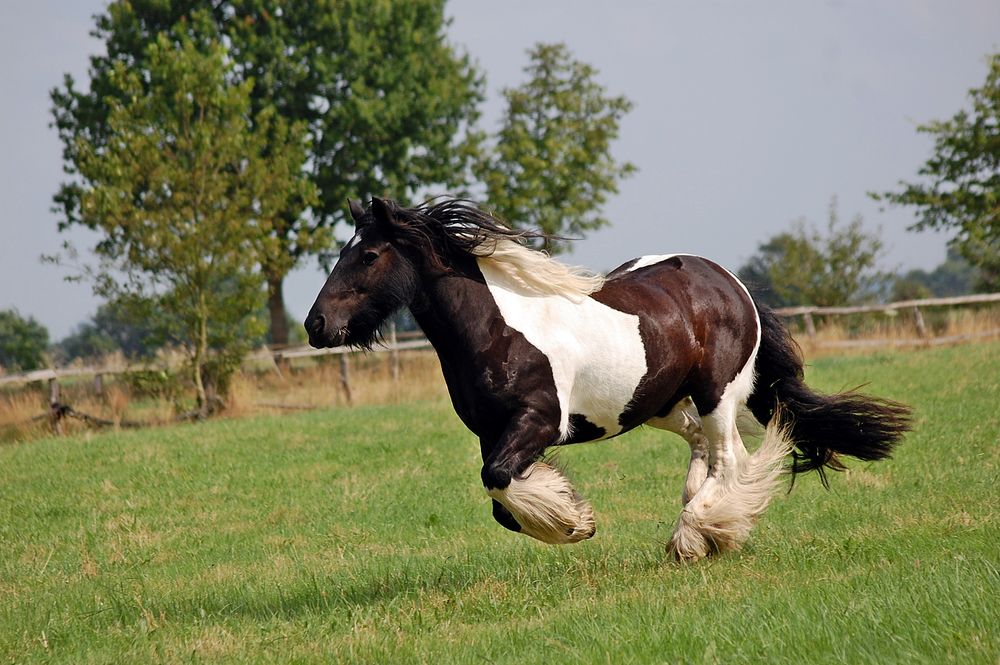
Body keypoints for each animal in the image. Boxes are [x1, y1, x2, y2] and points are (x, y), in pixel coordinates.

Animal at [304, 197, 912, 561]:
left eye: (369, 255)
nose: (316, 325)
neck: (497, 327)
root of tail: (729, 280)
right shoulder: (490, 431)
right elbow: (500, 498)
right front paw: (571, 514)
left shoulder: (540, 421)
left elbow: (498, 479)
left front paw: (576, 525)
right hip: (660, 403)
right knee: (706, 448)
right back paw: (700, 525)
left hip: (716, 392)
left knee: (732, 457)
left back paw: (698, 536)